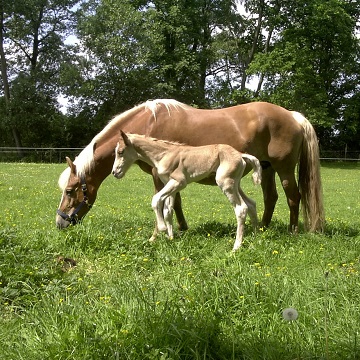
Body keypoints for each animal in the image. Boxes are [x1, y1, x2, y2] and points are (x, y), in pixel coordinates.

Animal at [55, 99, 324, 233]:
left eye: (69, 191)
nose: (60, 223)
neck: (147, 124)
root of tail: (293, 116)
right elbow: (176, 202)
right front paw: (181, 228)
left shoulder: (158, 175)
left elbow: (163, 202)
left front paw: (164, 231)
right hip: (267, 168)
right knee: (270, 198)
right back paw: (264, 228)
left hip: (284, 169)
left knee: (293, 197)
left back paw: (292, 230)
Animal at [112, 131, 262, 252]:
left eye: (120, 152)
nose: (115, 172)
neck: (164, 155)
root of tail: (241, 155)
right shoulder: (171, 185)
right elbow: (168, 210)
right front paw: (170, 238)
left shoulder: (179, 182)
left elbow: (156, 199)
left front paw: (162, 228)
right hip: (235, 184)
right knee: (251, 204)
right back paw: (256, 236)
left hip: (225, 183)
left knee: (241, 208)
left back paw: (236, 247)